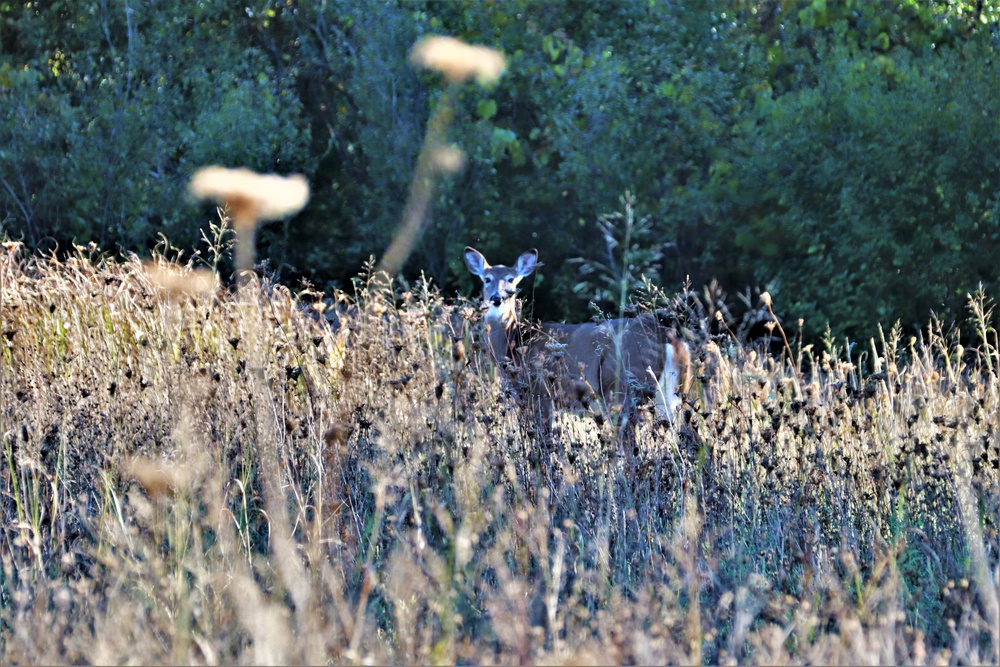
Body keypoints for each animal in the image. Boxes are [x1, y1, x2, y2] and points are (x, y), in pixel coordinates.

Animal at [462, 245, 688, 444]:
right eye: (487, 279)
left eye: (511, 280)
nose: (497, 298)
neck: (514, 344)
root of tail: (667, 336)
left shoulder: (540, 393)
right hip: (673, 393)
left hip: (622, 389)